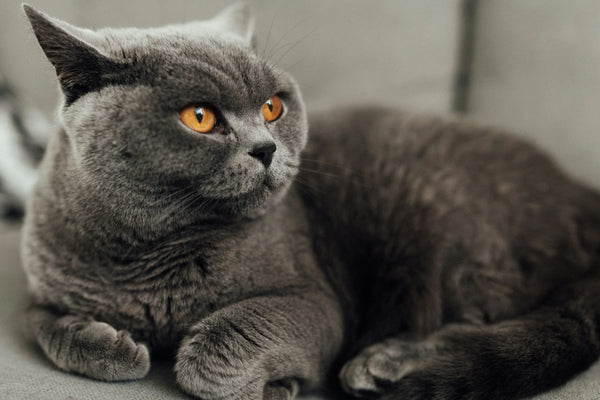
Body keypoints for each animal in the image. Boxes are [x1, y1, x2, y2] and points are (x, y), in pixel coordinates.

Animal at [21, 3, 600, 400]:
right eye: (200, 117)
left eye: (272, 107)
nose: (266, 148)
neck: (147, 252)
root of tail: (579, 193)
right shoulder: (41, 286)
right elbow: (45, 326)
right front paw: (107, 343)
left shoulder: (315, 300)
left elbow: (219, 345)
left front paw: (276, 385)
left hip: (449, 224)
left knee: (482, 323)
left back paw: (381, 363)